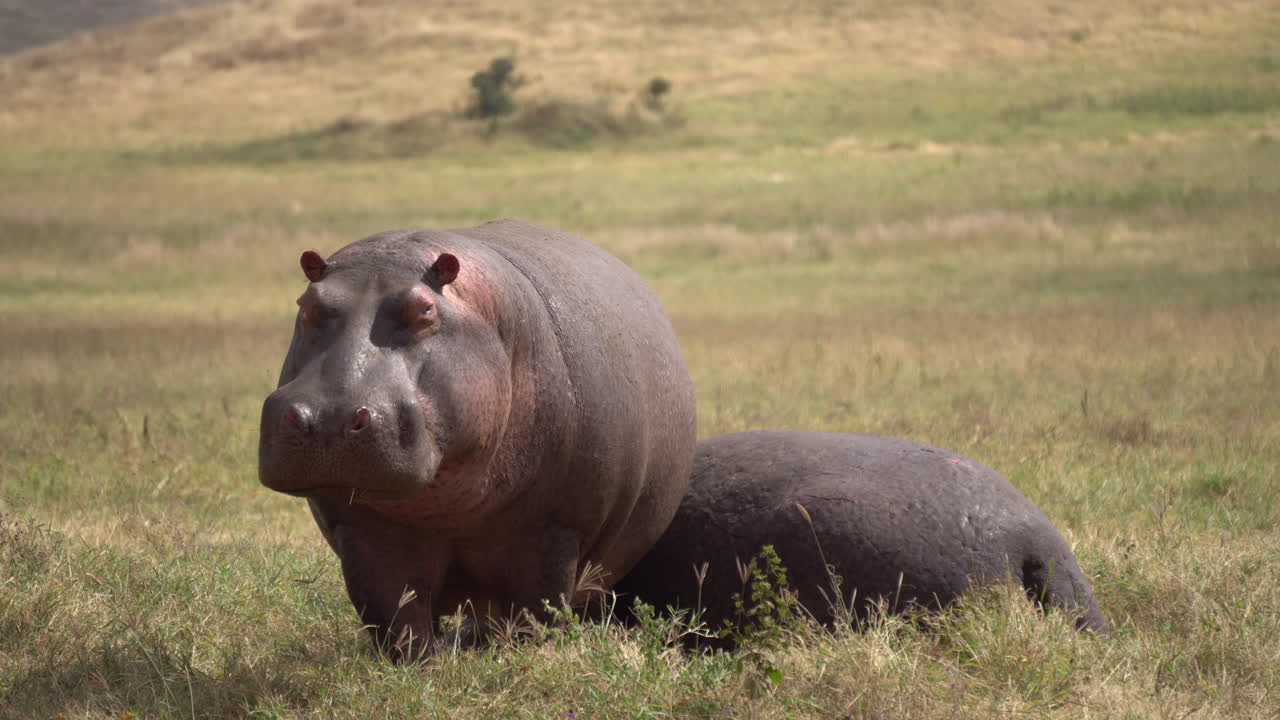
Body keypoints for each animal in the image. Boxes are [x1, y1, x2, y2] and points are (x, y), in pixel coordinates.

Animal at [258, 219, 697, 658]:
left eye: (425, 310)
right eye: (306, 304)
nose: (328, 418)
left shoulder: (552, 534)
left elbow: (537, 612)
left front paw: (518, 658)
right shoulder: (364, 534)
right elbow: (395, 619)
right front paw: (421, 664)